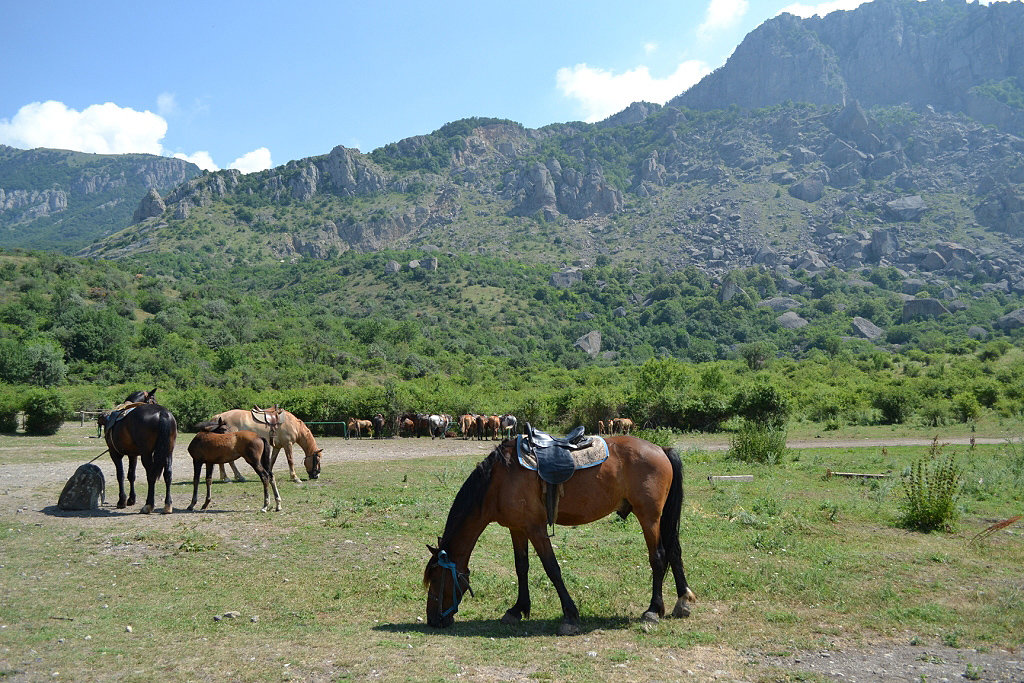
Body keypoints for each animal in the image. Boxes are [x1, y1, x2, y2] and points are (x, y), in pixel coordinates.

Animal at [419, 436, 692, 634]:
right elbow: (521, 567)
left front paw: (570, 615)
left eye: (437, 578)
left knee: (658, 557)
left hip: (649, 517)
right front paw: (517, 609)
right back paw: (682, 601)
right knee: (674, 551)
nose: (433, 619)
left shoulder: (536, 529)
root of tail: (661, 449)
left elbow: (552, 568)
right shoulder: (517, 528)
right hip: (659, 518)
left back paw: (653, 610)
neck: (497, 482)